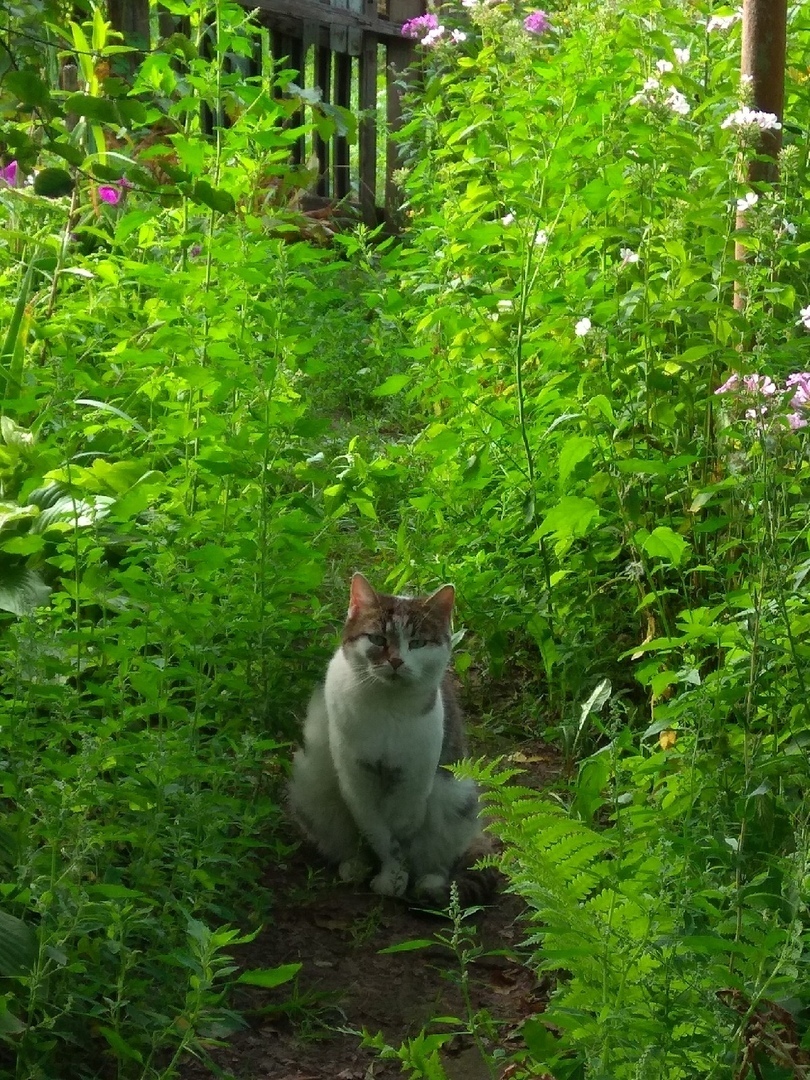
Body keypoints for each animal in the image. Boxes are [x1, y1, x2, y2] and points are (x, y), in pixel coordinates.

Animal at [289, 574, 494, 902]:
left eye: (418, 643)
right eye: (377, 640)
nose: (396, 661)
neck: (387, 707)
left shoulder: (412, 782)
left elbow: (402, 837)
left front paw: (397, 878)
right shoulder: (357, 779)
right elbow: (379, 835)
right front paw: (390, 877)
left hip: (457, 798)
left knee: (442, 856)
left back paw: (430, 883)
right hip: (312, 785)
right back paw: (355, 865)